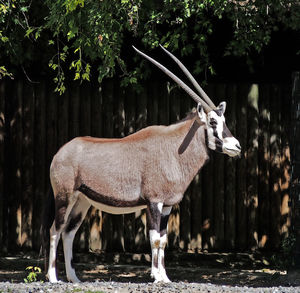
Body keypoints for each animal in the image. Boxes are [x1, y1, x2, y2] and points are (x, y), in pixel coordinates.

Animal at [42, 45, 241, 282]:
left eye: (224, 120)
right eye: (212, 122)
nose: (236, 146)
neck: (174, 148)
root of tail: (59, 153)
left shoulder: (167, 205)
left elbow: (163, 240)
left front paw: (165, 278)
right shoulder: (153, 202)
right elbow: (154, 238)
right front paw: (156, 276)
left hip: (82, 201)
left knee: (68, 232)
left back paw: (74, 278)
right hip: (65, 197)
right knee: (55, 230)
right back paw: (53, 278)